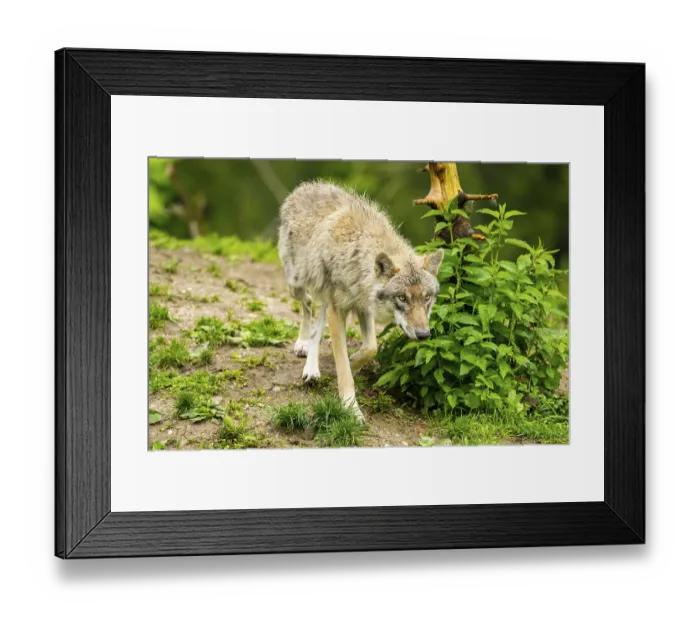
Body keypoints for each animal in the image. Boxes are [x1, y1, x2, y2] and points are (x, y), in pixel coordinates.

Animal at [278, 181, 444, 421]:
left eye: (427, 297)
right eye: (402, 298)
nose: (423, 335)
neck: (356, 254)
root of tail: (305, 186)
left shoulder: (363, 307)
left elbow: (370, 348)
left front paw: (354, 362)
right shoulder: (339, 310)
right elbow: (343, 368)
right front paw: (351, 409)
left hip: (325, 297)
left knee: (317, 322)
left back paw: (311, 366)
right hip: (296, 284)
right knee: (307, 303)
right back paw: (303, 345)